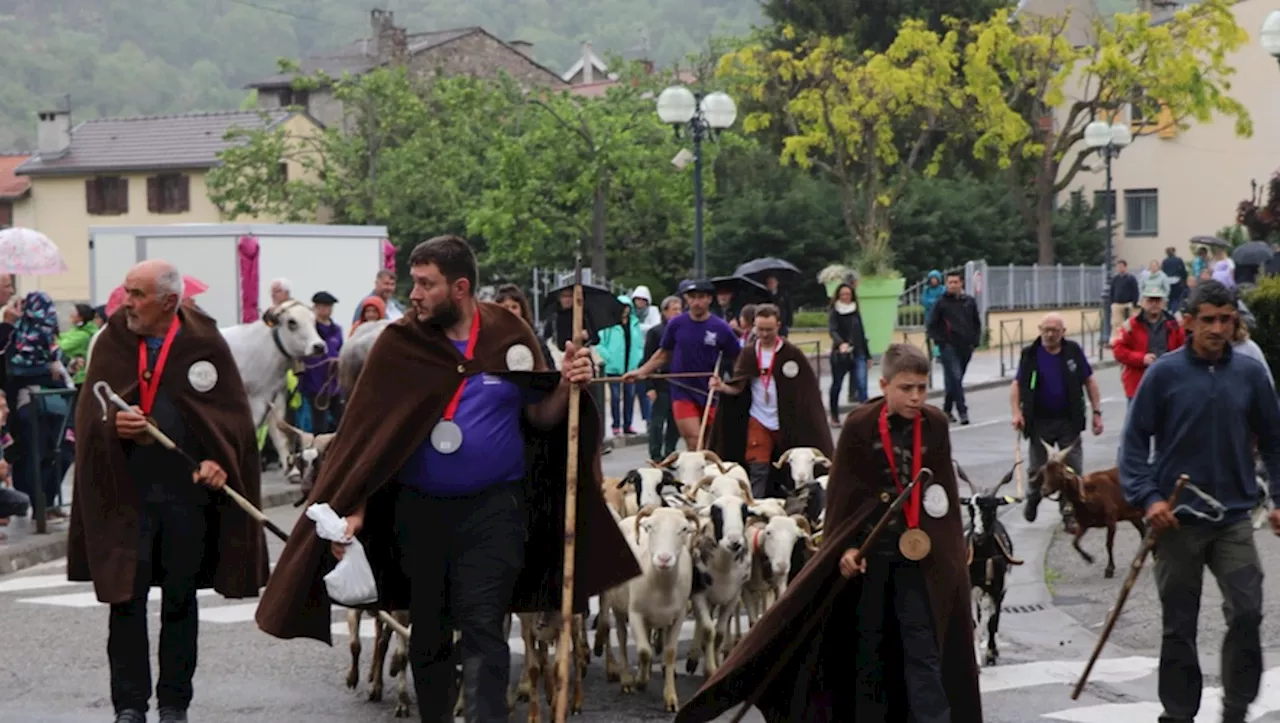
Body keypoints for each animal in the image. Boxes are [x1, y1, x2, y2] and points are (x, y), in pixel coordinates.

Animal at [962, 463, 1018, 665]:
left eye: (992, 509)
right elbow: (973, 622)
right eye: (970, 509)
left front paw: (991, 653)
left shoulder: (998, 589)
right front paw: (978, 655)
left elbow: (993, 622)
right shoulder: (970, 587)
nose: (978, 536)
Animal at [1034, 437, 1146, 578]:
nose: (1043, 491)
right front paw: (1089, 558)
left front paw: (1109, 569)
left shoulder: (1111, 519)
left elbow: (1108, 544)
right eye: (1044, 471)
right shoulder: (1084, 523)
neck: (1087, 494)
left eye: (1059, 473)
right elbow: (1074, 543)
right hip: (1133, 515)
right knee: (1144, 532)